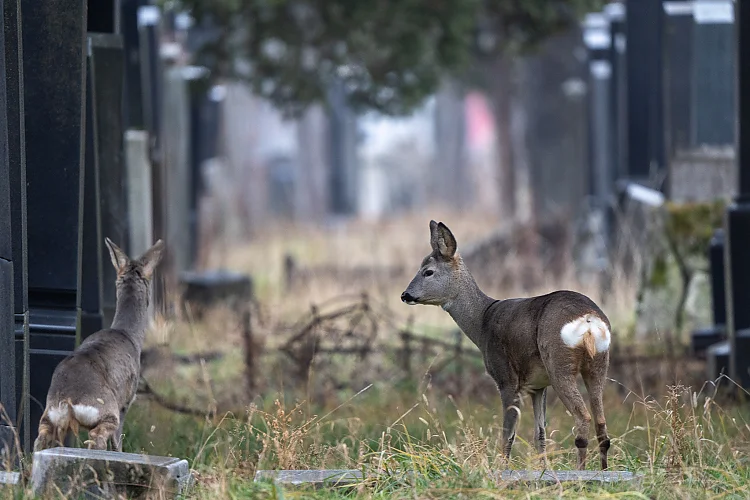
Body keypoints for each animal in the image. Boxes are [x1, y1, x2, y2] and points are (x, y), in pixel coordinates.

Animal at [33, 238, 164, 453]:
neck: (128, 334)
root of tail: (67, 401)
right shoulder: (126, 400)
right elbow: (117, 442)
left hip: (49, 417)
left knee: (40, 439)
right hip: (107, 410)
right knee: (98, 437)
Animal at [401, 221, 611, 470]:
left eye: (428, 271)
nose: (405, 295)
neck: (483, 321)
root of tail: (588, 320)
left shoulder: (506, 378)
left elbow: (507, 434)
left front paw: (502, 468)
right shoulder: (538, 385)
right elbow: (540, 434)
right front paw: (544, 471)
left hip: (559, 364)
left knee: (584, 417)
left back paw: (580, 472)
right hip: (598, 365)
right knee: (601, 424)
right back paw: (603, 471)